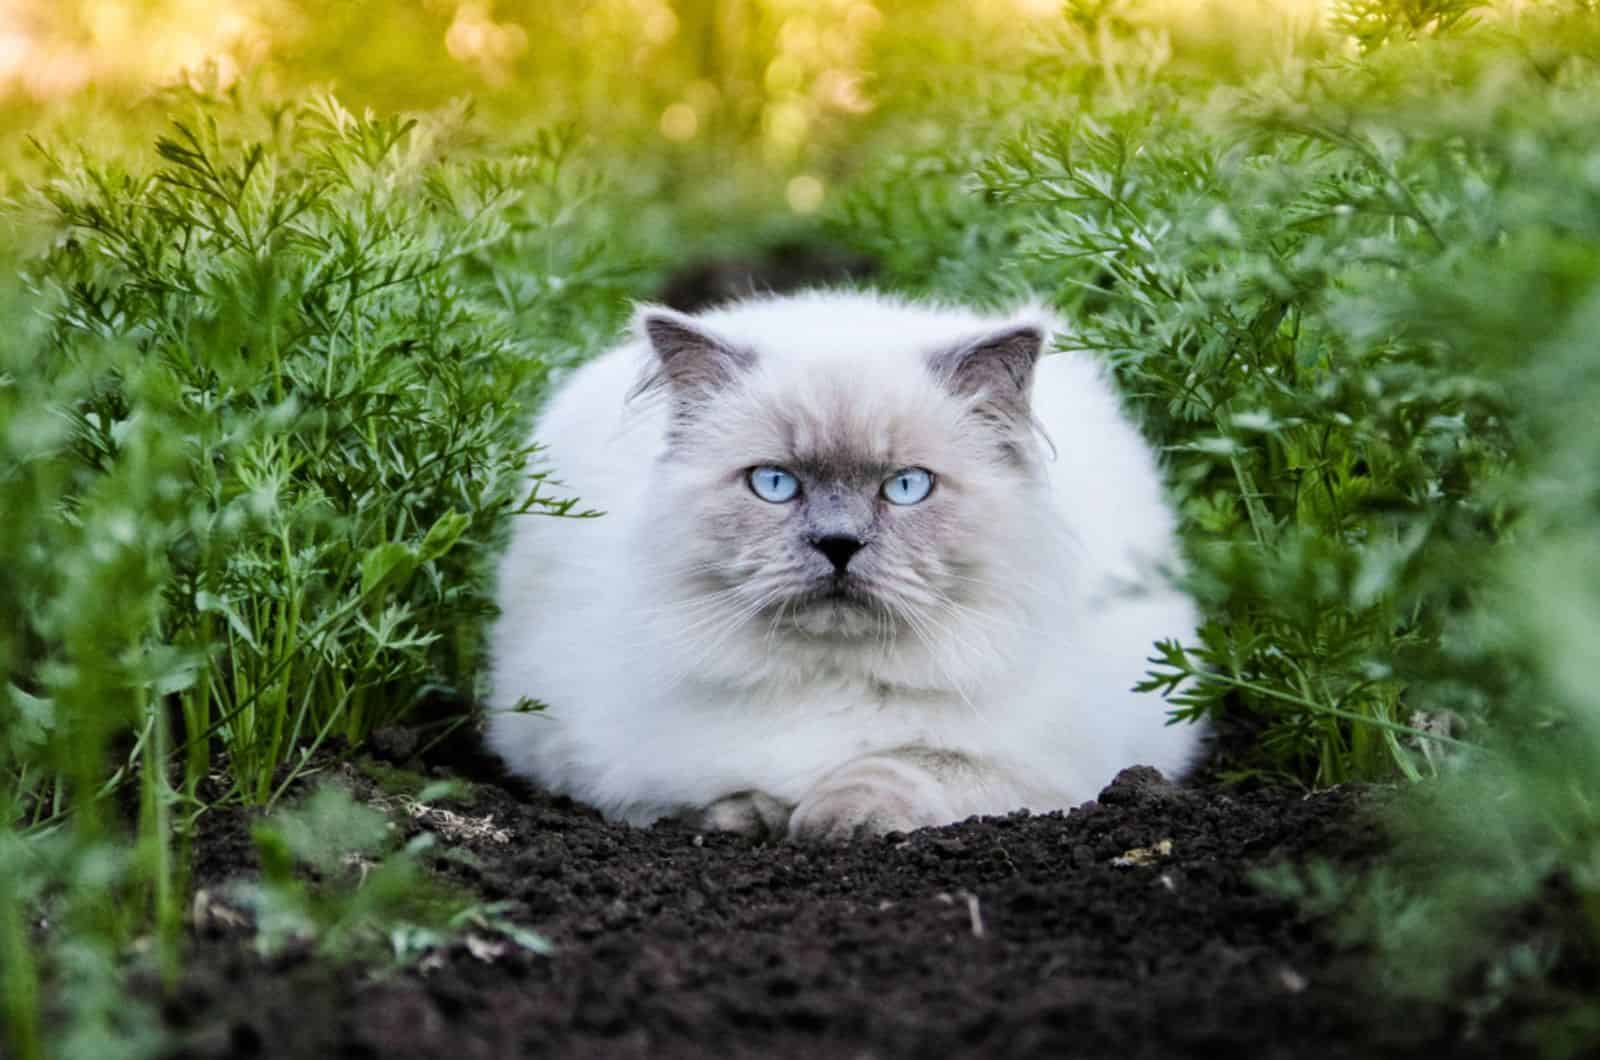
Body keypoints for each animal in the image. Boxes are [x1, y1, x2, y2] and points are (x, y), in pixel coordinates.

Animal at [483, 291, 1203, 845]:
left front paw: (831, 821)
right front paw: (759, 818)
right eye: (774, 484)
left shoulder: (1038, 769)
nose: (838, 543)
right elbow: (719, 795)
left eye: (906, 487)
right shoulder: (601, 759)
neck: (833, 679)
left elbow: (905, 767)